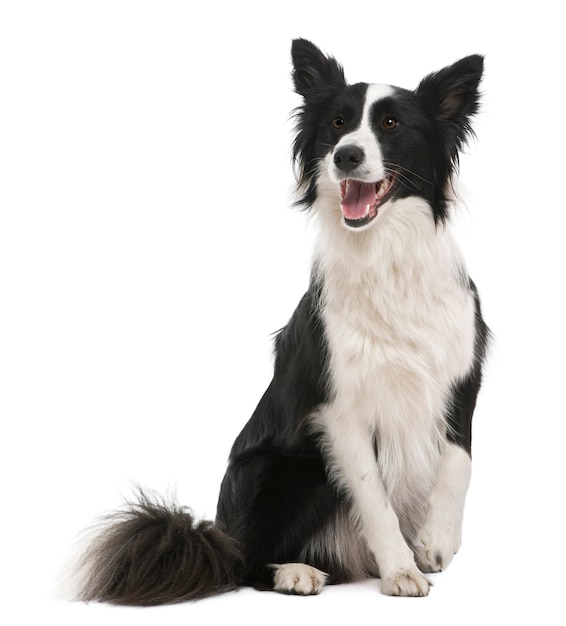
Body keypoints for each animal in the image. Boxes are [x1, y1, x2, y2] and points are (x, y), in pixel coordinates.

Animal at [77, 37, 490, 600]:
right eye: (337, 123)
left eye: (391, 124)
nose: (346, 156)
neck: (386, 254)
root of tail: (216, 532)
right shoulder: (338, 409)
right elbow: (374, 497)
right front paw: (401, 569)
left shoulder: (461, 374)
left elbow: (458, 460)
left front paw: (436, 541)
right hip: (289, 468)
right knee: (244, 564)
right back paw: (294, 572)